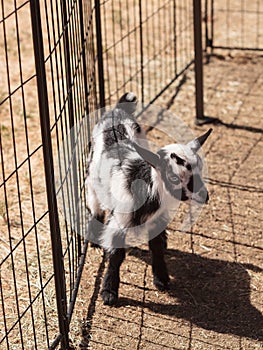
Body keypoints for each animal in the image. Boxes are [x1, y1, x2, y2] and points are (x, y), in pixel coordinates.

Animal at [85, 92, 213, 304]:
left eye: (200, 170)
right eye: (173, 177)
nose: (204, 196)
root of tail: (117, 110)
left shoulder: (157, 220)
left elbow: (157, 247)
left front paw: (161, 279)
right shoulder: (120, 221)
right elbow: (116, 256)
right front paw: (109, 291)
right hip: (92, 178)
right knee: (94, 203)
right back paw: (94, 237)